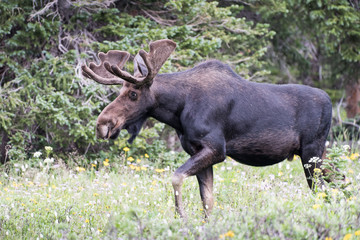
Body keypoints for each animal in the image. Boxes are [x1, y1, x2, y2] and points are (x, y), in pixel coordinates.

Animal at [81, 39, 332, 218]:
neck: (179, 109)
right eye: (120, 91)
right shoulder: (197, 150)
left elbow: (177, 178)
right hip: (320, 154)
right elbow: (208, 201)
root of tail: (329, 101)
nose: (103, 124)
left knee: (320, 190)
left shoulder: (216, 149)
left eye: (133, 94)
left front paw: (181, 217)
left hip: (311, 152)